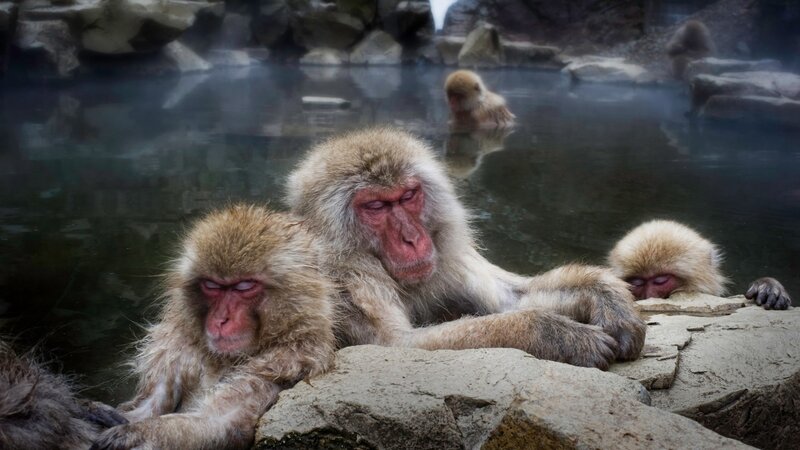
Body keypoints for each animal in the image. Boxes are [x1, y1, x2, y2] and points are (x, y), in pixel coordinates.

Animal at [91, 205, 337, 450]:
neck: (223, 360)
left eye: (244, 286)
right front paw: (99, 413)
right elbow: (146, 405)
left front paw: (138, 433)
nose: (220, 319)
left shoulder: (285, 363)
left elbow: (221, 424)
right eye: (211, 285)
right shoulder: (177, 350)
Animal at [286, 127, 646, 370]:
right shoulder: (343, 275)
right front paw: (554, 334)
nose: (411, 238)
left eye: (408, 196)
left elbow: (510, 297)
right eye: (375, 206)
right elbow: (395, 346)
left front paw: (607, 298)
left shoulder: (448, 255)